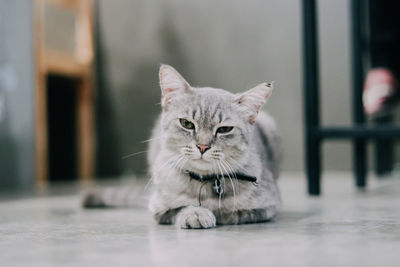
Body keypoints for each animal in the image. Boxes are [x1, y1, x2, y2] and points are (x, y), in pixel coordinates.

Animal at [147, 63, 282, 229]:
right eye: (186, 123)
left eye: (224, 129)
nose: (202, 146)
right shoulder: (158, 206)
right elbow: (180, 207)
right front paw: (196, 213)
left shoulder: (268, 205)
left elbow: (232, 213)